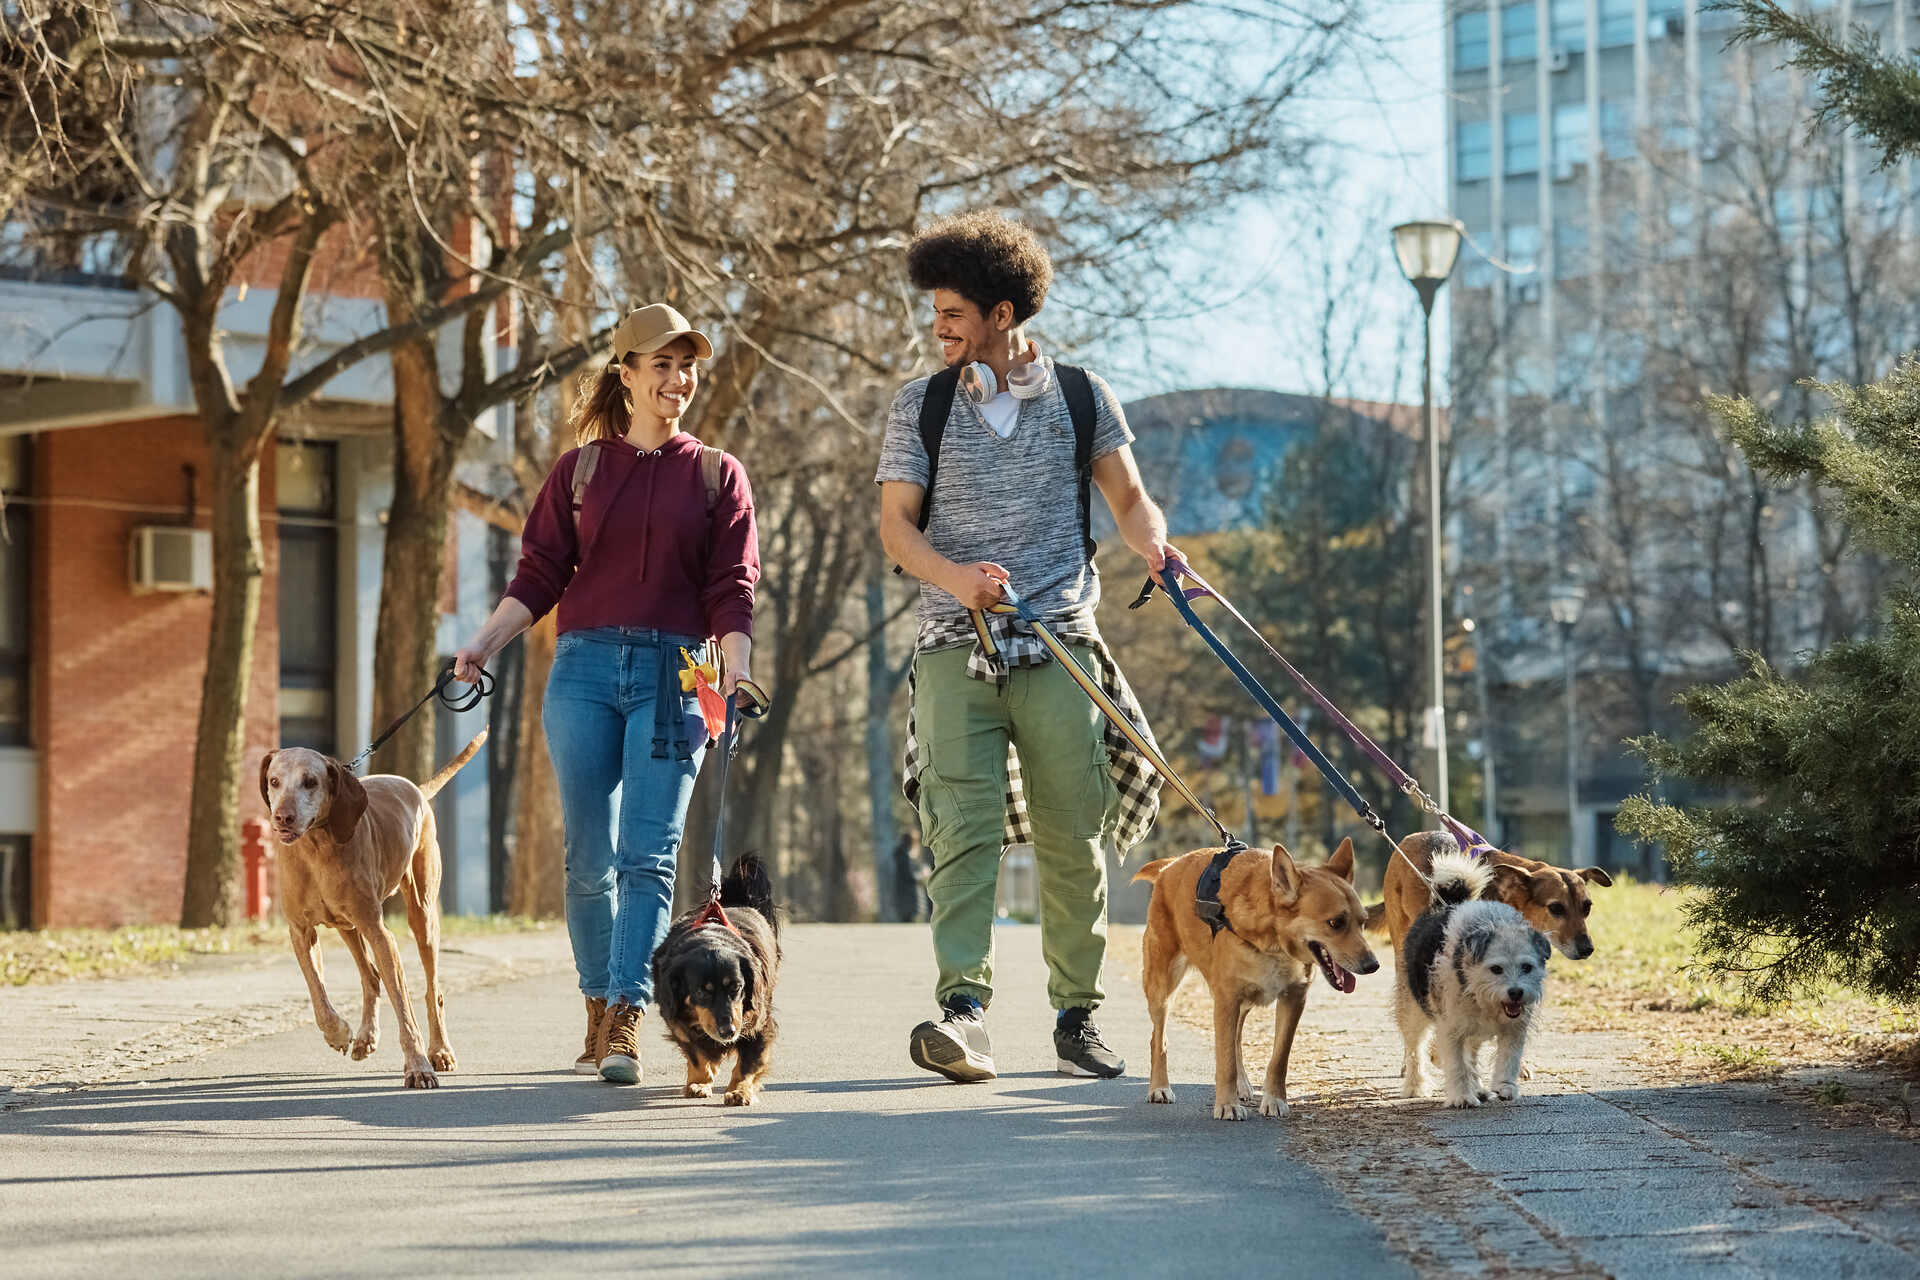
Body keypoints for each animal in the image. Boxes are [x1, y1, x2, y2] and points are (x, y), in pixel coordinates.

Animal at [259, 736, 487, 1090]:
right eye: (274, 781)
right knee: (370, 976)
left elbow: (404, 1008)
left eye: (310, 782)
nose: (283, 817)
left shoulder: (381, 934)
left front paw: (418, 1065)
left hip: (421, 917)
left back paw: (440, 1050)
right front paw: (338, 1032)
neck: (316, 848)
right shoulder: (301, 932)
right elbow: (318, 993)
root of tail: (415, 787)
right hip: (349, 927)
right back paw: (366, 1038)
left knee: (431, 990)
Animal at [652, 855, 779, 1105]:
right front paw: (700, 1083)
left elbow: (748, 1063)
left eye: (737, 987)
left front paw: (740, 1090)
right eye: (702, 992)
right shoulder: (677, 1022)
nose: (728, 1031)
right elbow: (697, 1055)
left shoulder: (758, 1023)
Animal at [1128, 840, 1390, 1120]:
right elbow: (1225, 1062)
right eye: (1335, 923)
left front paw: (1273, 1100)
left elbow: (1278, 1058)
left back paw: (1242, 1084)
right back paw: (1159, 1088)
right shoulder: (1227, 1000)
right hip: (1163, 989)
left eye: (1363, 922)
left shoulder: (1293, 999)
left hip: (1244, 1002)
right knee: (1159, 1039)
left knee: (1236, 1040)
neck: (1274, 942)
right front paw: (1227, 1104)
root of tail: (1171, 865)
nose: (1372, 965)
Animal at [1397, 844, 1559, 1105]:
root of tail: (1446, 904)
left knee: (1471, 1054)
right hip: (1413, 1011)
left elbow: (1508, 1059)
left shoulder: (1514, 1029)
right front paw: (1462, 1096)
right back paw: (1416, 1085)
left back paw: (1479, 1088)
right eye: (1496, 969)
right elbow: (1456, 1064)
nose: (1516, 993)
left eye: (1527, 967)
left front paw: (1504, 1087)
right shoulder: (1451, 1028)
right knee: (1415, 1048)